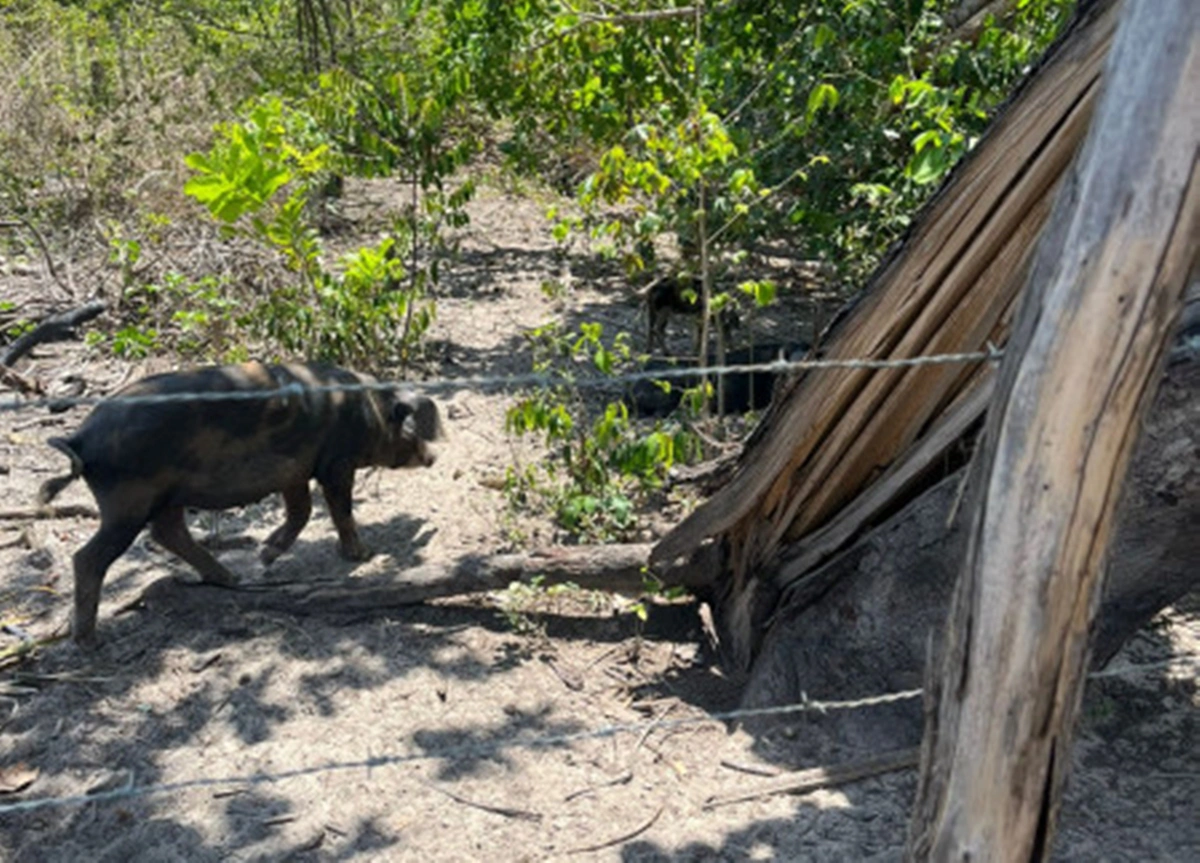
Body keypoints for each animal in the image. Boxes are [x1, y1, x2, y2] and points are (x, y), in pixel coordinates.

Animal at [37, 360, 444, 643]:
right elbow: (339, 510)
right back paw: (89, 642)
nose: (434, 456)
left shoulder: (293, 470)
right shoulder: (335, 464)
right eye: (408, 425)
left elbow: (301, 511)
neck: (368, 409)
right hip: (127, 503)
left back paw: (231, 579)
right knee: (89, 557)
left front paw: (266, 555)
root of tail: (80, 438)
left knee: (169, 533)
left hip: (164, 496)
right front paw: (362, 555)